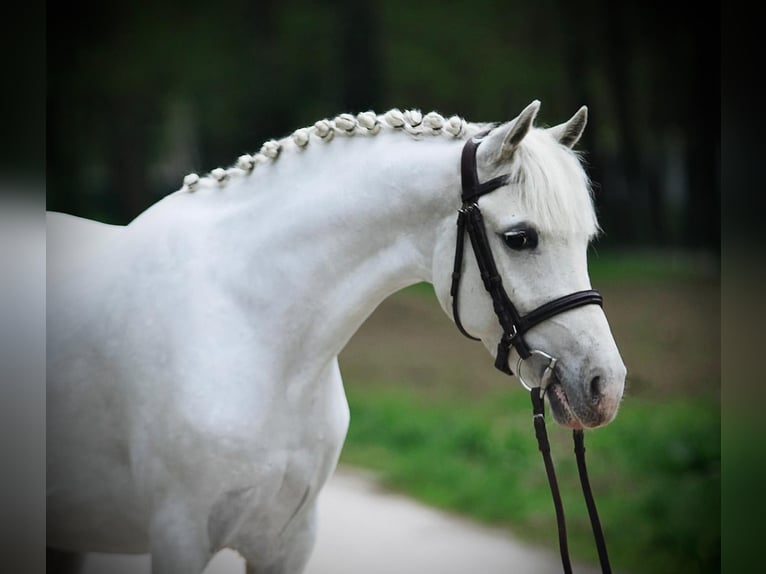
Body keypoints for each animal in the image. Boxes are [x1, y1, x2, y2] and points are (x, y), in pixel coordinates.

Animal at [46, 103, 624, 574]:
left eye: (586, 239)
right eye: (519, 238)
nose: (606, 386)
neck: (252, 328)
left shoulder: (289, 541)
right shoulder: (180, 535)